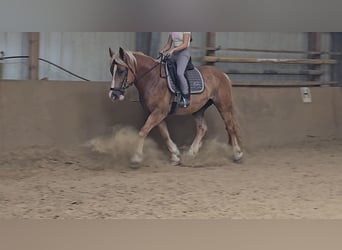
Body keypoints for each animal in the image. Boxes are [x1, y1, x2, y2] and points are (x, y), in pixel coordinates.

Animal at [108, 47, 242, 166]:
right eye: (111, 71)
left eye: (121, 71)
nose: (113, 95)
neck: (152, 78)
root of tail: (223, 74)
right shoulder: (156, 113)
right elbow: (165, 133)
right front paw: (175, 155)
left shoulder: (159, 112)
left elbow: (144, 131)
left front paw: (136, 158)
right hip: (199, 109)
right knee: (202, 128)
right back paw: (191, 153)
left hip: (223, 106)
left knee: (230, 127)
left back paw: (237, 154)